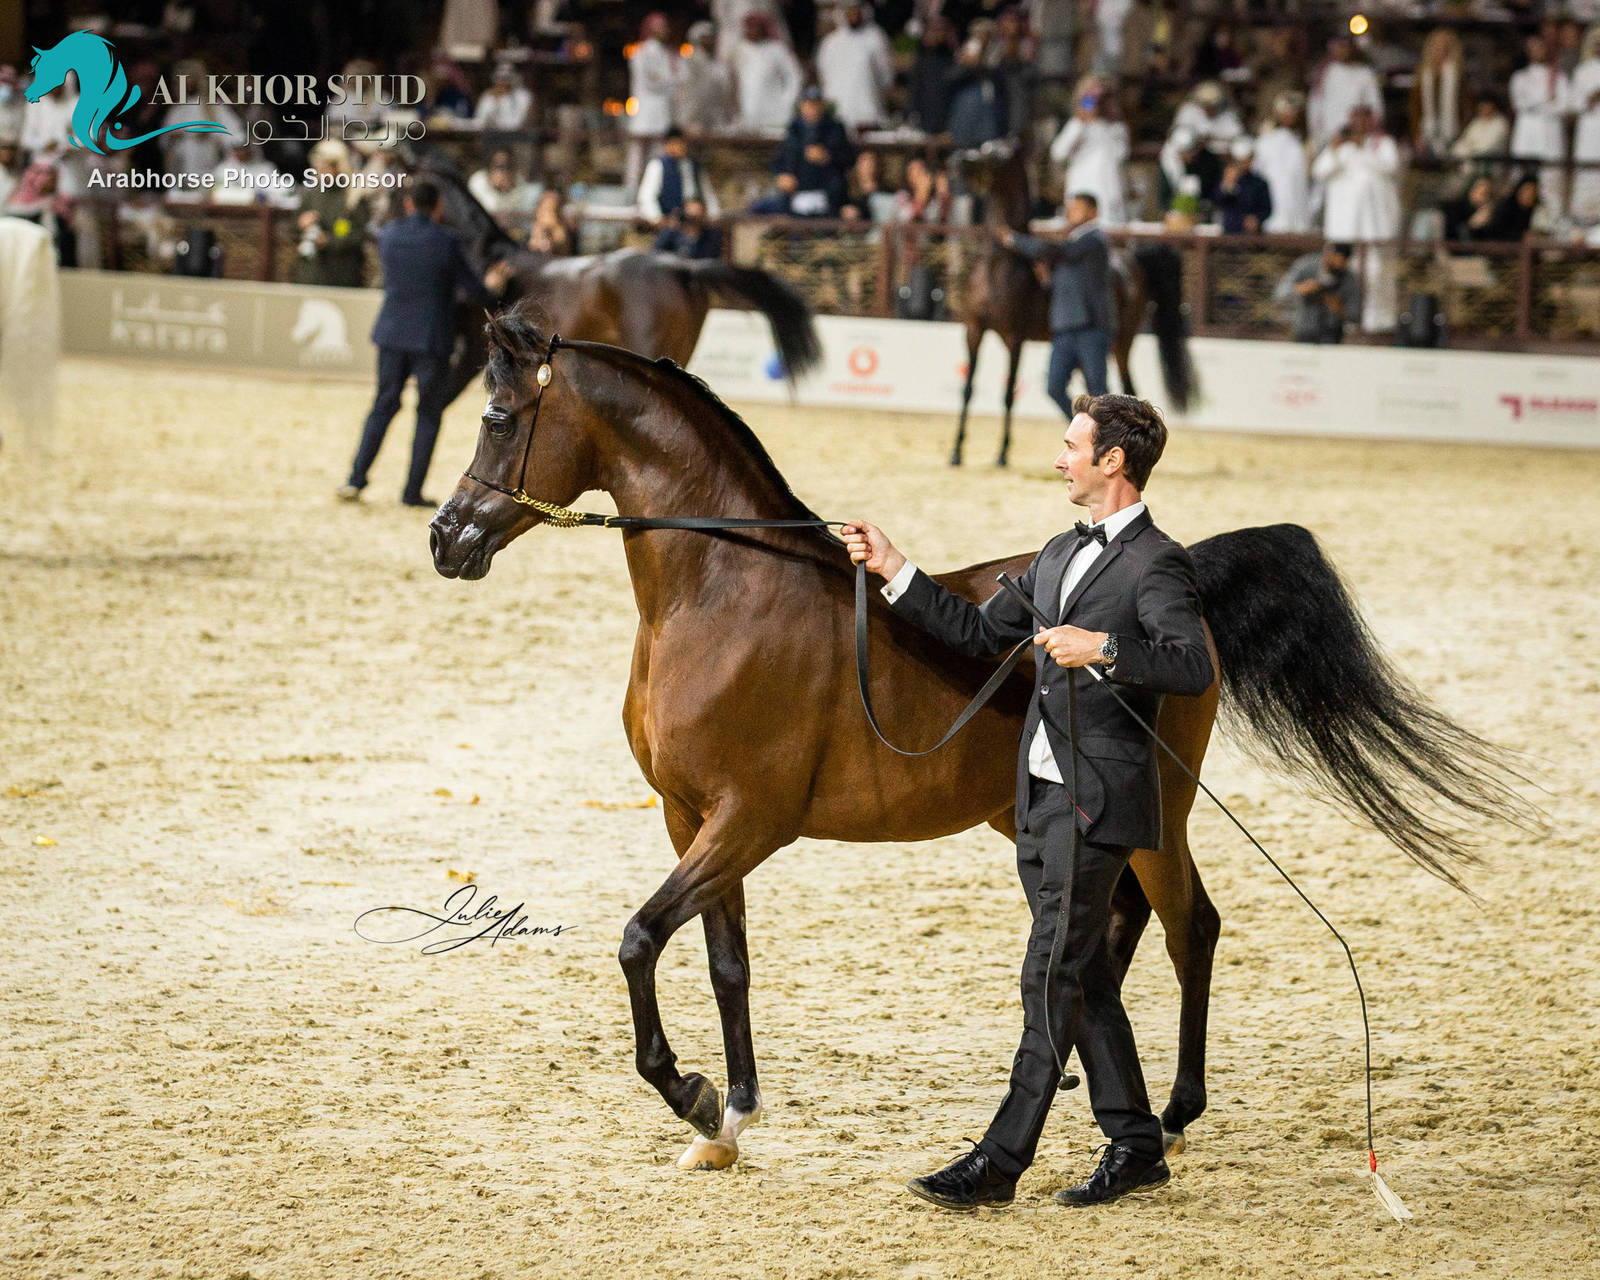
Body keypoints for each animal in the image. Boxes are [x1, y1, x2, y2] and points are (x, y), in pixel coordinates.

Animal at [427, 316, 1533, 1171]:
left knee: (1191, 925)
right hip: (1048, 818)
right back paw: (1087, 1071)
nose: (446, 538)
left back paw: (1172, 1117)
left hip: (1157, 812)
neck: (725, 594)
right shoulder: (688, 817)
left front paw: (690, 1092)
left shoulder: (748, 821)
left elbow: (638, 939)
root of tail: (1184, 587)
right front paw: (728, 1120)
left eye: (495, 416)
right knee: (1114, 925)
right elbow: (724, 962)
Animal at [947, 142, 1195, 467]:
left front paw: (1001, 453)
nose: (958, 161)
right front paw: (956, 451)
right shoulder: (974, 330)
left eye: (997, 154)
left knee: (1128, 389)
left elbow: (1008, 394)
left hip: (1121, 342)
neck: (1000, 264)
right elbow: (966, 390)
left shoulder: (1015, 338)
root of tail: (1130, 261)